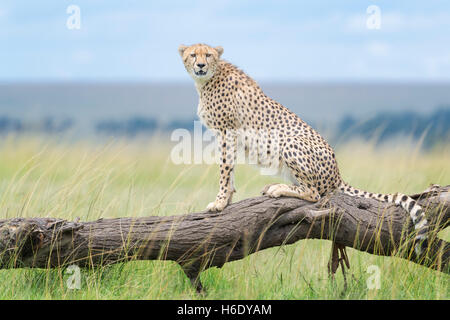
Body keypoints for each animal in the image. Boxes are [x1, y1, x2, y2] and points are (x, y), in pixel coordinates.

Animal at [178, 43, 428, 255]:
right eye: (193, 55)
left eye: (208, 55)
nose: (200, 65)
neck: (209, 79)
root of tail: (337, 174)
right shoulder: (227, 135)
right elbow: (229, 170)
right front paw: (227, 199)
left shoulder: (227, 132)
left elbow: (224, 169)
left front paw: (219, 202)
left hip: (290, 142)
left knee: (314, 193)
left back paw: (278, 188)